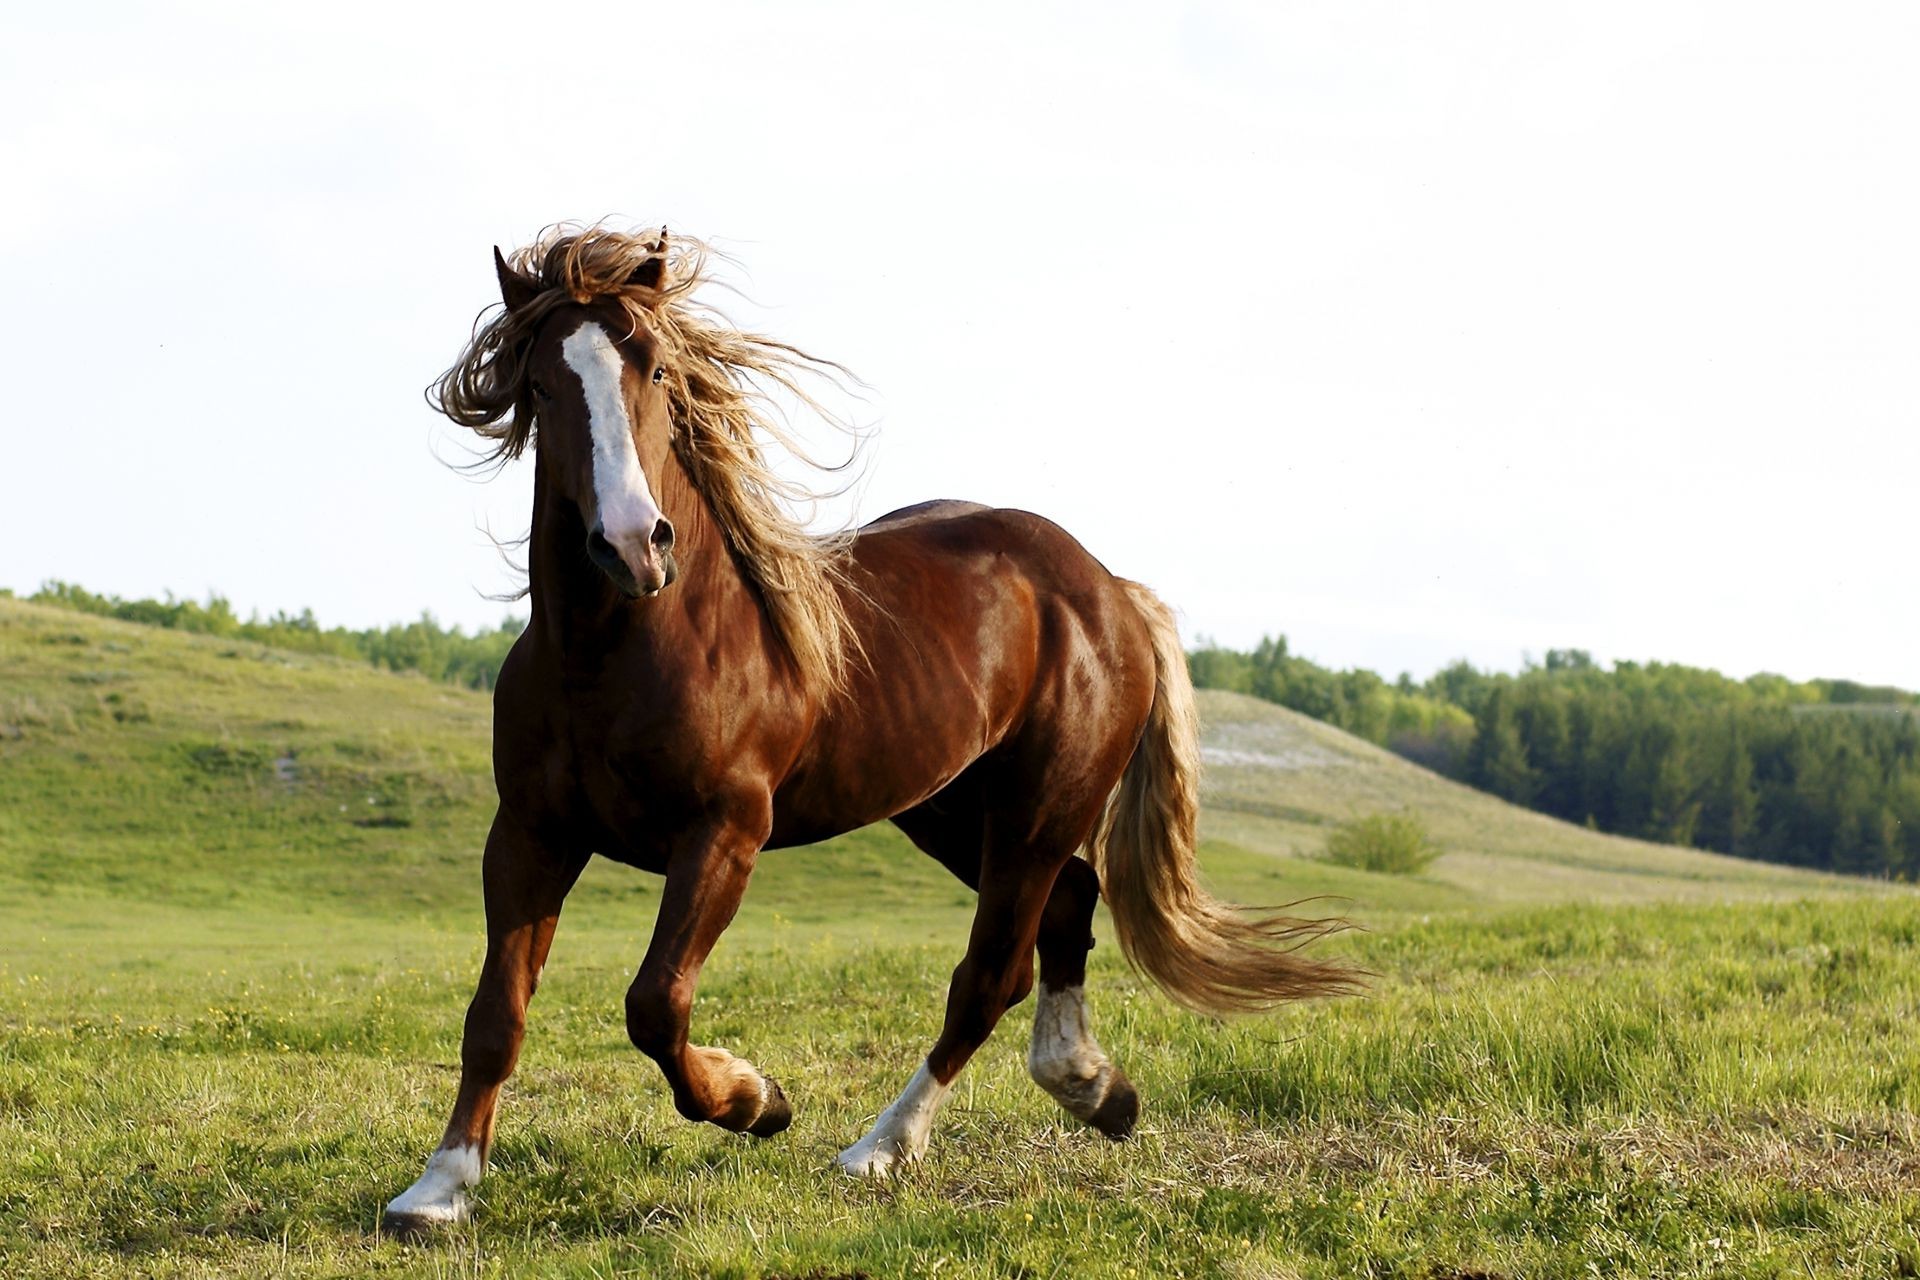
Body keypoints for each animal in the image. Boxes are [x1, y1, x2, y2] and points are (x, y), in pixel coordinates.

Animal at [382, 225, 1359, 1235]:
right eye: (540, 385)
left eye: (654, 367)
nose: (631, 545)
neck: (620, 648)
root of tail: (1107, 589)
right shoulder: (530, 834)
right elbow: (496, 1014)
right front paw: (439, 1188)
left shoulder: (725, 831)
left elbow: (656, 1003)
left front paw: (756, 1100)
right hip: (951, 813)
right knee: (1067, 907)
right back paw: (1094, 1088)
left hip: (1036, 814)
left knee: (989, 976)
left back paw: (881, 1148)